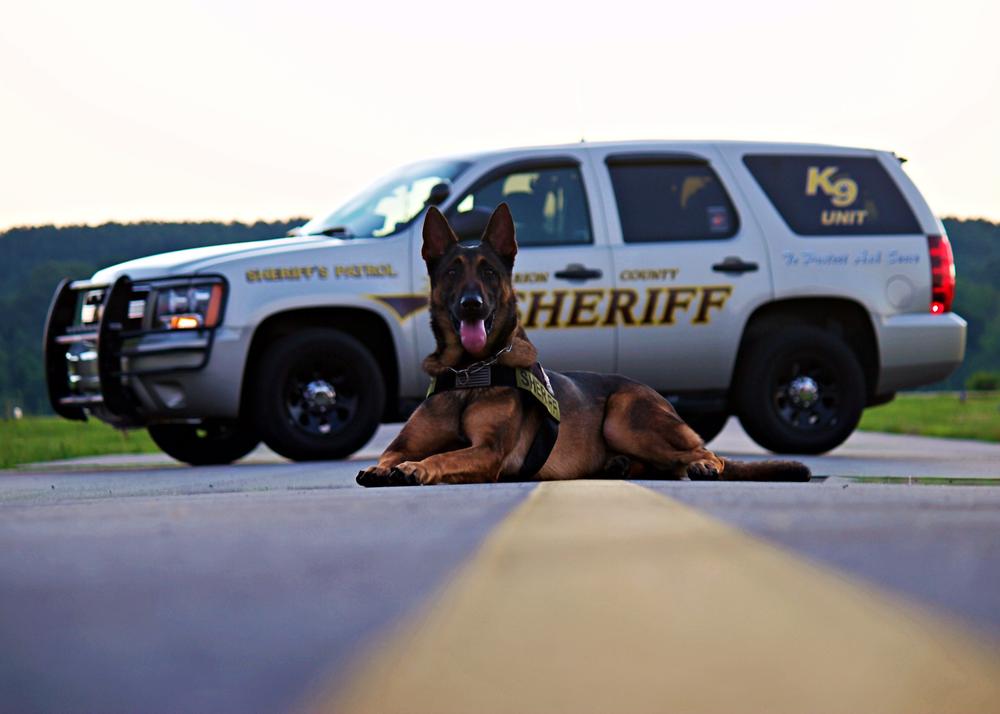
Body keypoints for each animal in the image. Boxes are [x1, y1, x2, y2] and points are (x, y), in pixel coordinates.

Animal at [356, 203, 808, 486]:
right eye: (451, 271)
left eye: (488, 272)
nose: (472, 305)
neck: (468, 371)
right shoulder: (402, 444)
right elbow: (389, 457)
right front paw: (385, 471)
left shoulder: (488, 451)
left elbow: (443, 456)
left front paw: (416, 469)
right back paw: (619, 466)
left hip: (625, 418)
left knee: (706, 455)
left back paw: (700, 466)